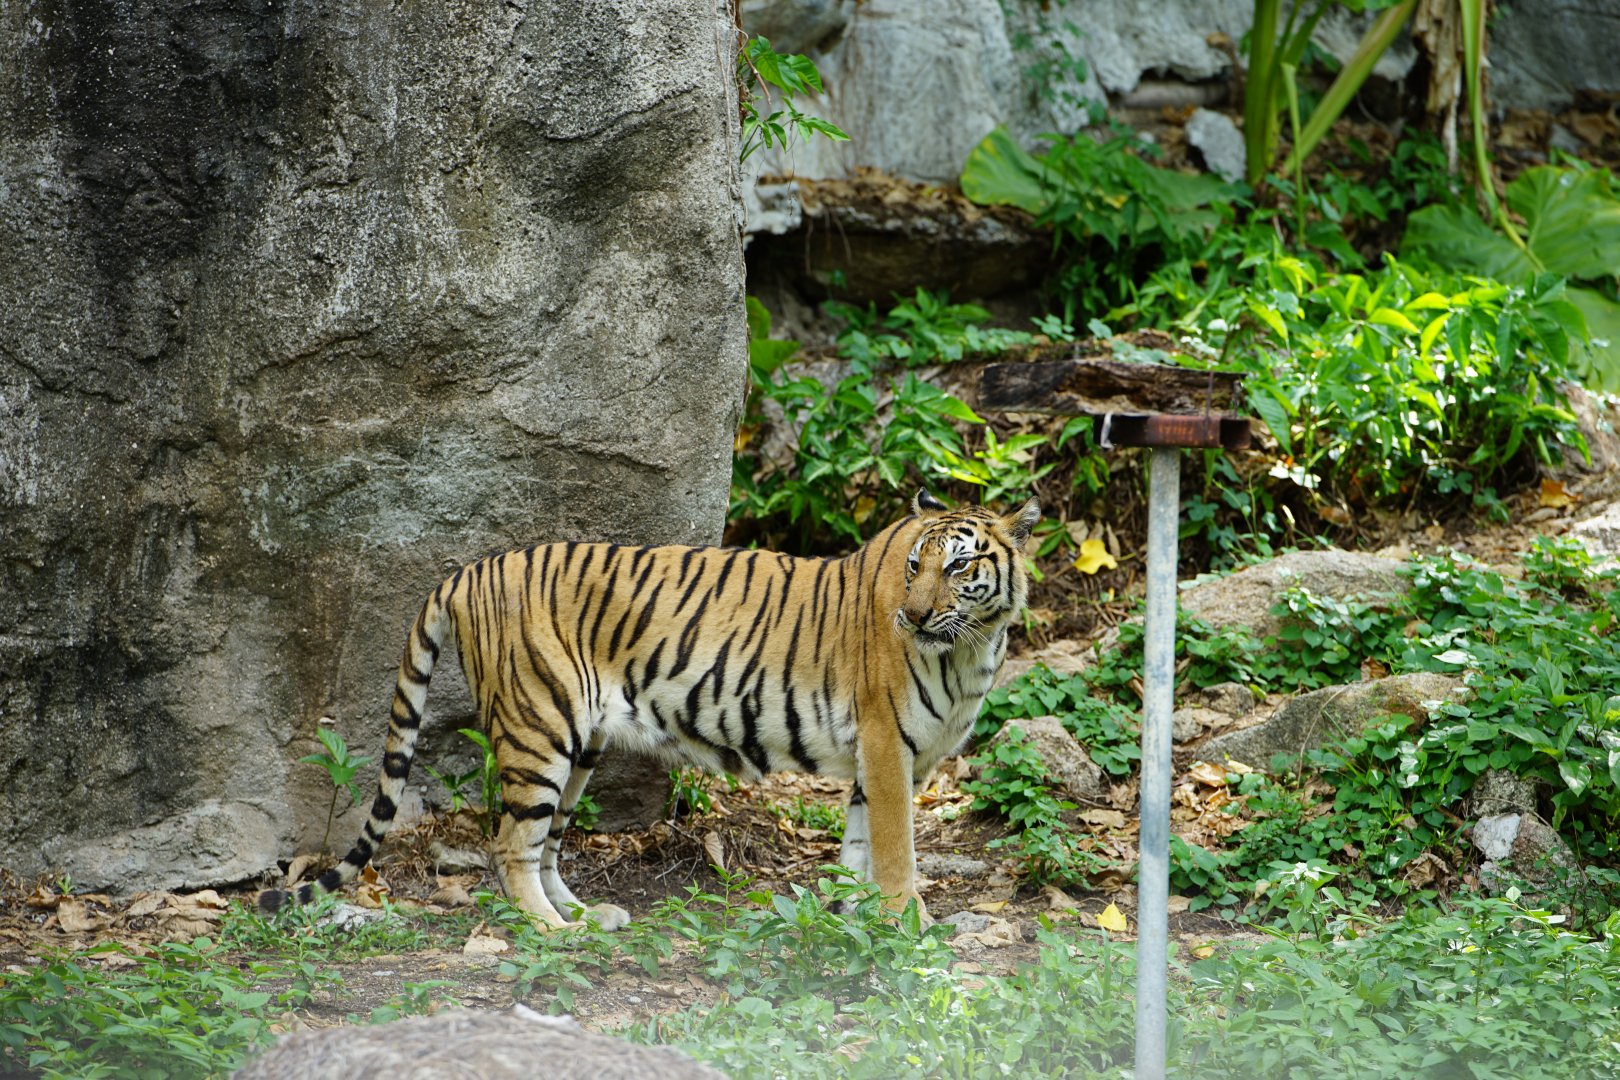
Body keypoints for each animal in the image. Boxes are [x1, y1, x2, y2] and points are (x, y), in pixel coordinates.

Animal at [260, 490, 1040, 930]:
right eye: (915, 566)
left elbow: (857, 849)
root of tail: (467, 570)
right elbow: (896, 848)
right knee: (510, 844)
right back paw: (555, 931)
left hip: (580, 745)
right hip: (539, 728)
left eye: (959, 566)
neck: (973, 645)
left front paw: (851, 916)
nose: (913, 616)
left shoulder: (881, 762)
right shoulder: (885, 747)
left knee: (546, 842)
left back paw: (587, 913)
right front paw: (909, 922)